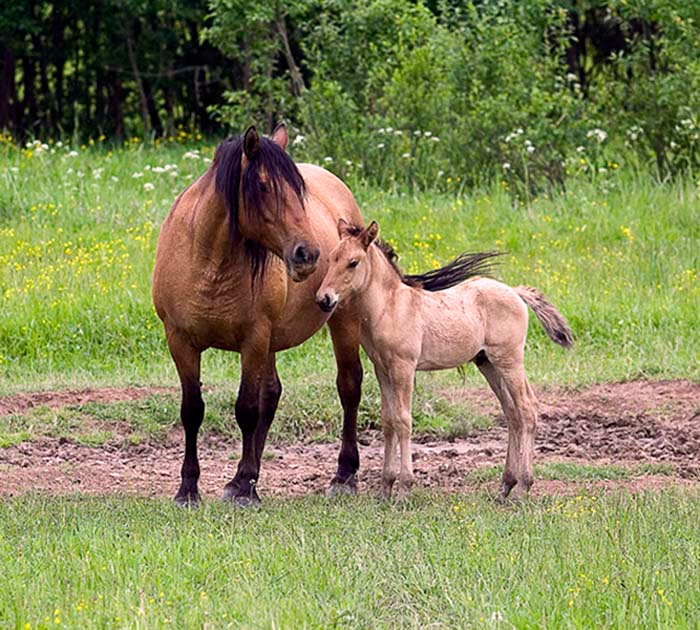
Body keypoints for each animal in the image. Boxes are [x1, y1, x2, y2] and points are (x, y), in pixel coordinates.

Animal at [152, 125, 365, 506]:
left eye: (299, 190)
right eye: (264, 186)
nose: (309, 255)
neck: (210, 262)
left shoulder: (253, 339)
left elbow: (247, 409)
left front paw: (247, 489)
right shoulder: (180, 340)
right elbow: (192, 410)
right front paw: (189, 488)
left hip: (343, 318)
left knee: (349, 385)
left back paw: (343, 475)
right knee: (272, 394)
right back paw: (240, 478)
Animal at [315, 219, 573, 500]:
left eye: (353, 262)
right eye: (331, 257)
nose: (323, 298)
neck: (391, 306)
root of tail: (515, 292)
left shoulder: (404, 366)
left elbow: (403, 420)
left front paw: (404, 489)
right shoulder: (382, 368)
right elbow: (388, 420)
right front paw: (385, 489)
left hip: (509, 359)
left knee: (527, 408)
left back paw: (523, 487)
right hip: (488, 363)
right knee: (512, 412)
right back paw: (506, 485)